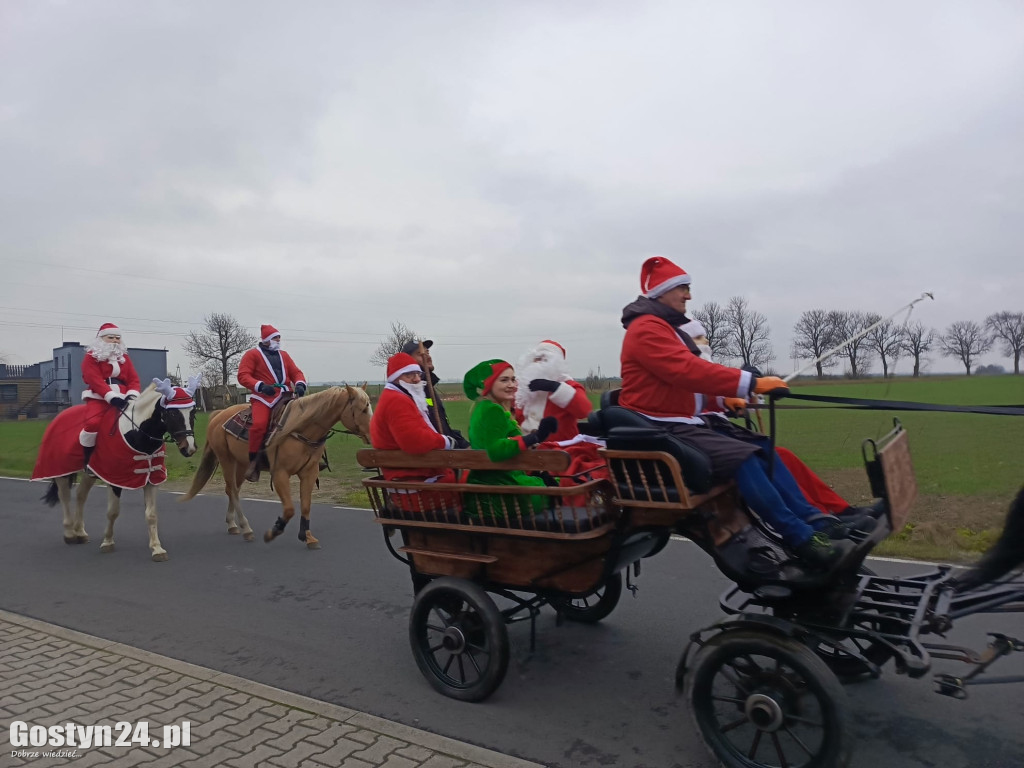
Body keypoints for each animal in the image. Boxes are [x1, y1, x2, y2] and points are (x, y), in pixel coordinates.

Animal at [35, 380, 198, 565]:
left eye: (193, 412)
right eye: (172, 413)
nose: (189, 448)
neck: (137, 432)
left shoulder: (150, 479)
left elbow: (151, 515)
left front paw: (157, 548)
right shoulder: (114, 479)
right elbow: (112, 512)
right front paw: (107, 542)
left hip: (90, 473)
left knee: (81, 495)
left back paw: (80, 532)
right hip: (61, 471)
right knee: (64, 496)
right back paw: (69, 533)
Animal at [182, 387, 374, 548]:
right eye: (363, 409)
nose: (372, 434)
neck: (301, 430)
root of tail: (219, 414)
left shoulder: (309, 473)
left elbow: (306, 505)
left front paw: (307, 536)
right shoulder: (280, 474)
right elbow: (289, 508)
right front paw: (274, 532)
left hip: (242, 464)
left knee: (231, 490)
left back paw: (232, 525)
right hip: (226, 459)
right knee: (234, 492)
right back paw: (246, 528)